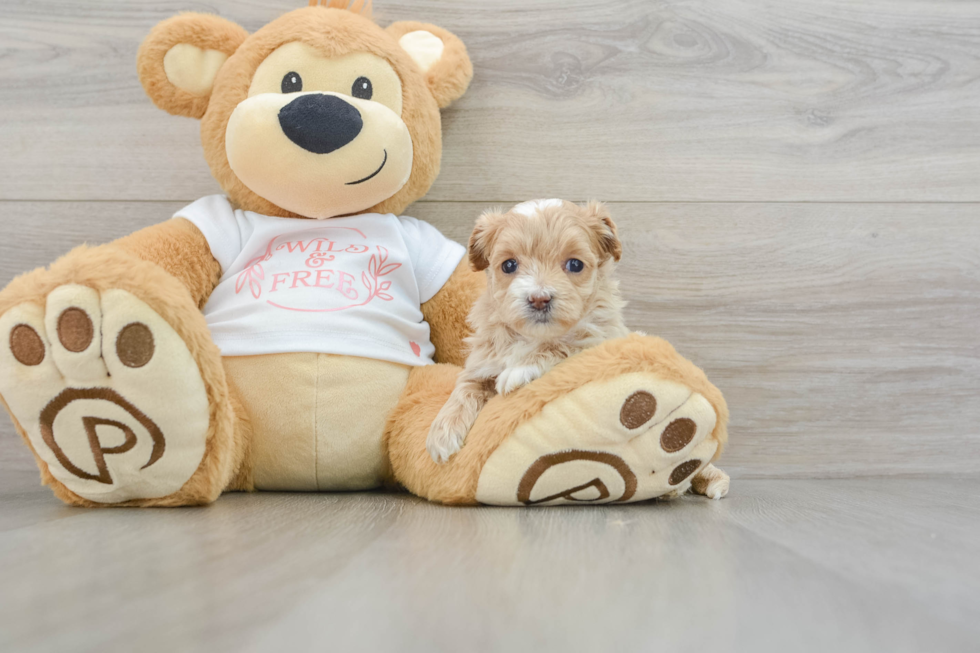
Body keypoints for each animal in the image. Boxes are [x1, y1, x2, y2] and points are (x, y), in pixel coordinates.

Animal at [426, 199, 628, 464]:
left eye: (575, 264)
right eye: (509, 265)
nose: (539, 299)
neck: (531, 336)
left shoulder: (598, 339)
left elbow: (561, 345)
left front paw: (519, 369)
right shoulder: (483, 363)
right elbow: (465, 388)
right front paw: (442, 432)